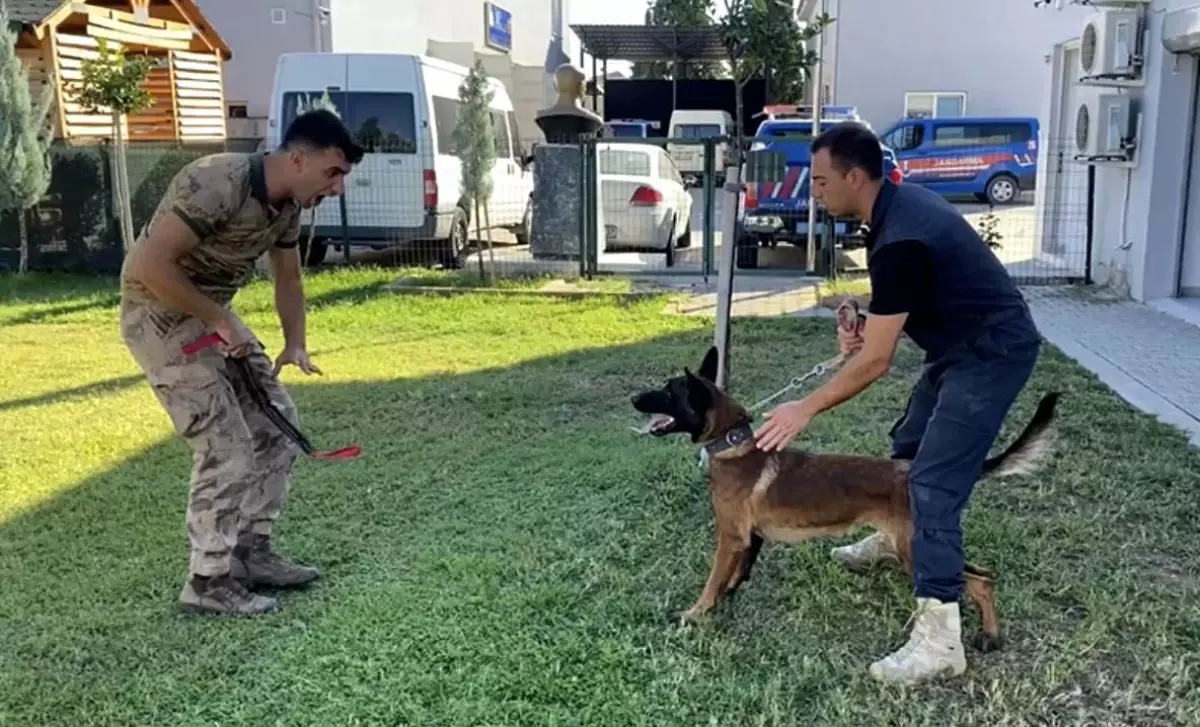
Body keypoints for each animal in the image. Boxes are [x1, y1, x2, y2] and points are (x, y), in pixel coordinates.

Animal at [628, 345, 1060, 652]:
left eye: (669, 391)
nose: (633, 398)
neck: (734, 445)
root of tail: (913, 474)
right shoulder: (751, 538)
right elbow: (739, 573)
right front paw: (727, 598)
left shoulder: (730, 538)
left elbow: (713, 578)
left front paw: (697, 612)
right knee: (985, 575)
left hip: (913, 551)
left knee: (979, 584)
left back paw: (989, 637)